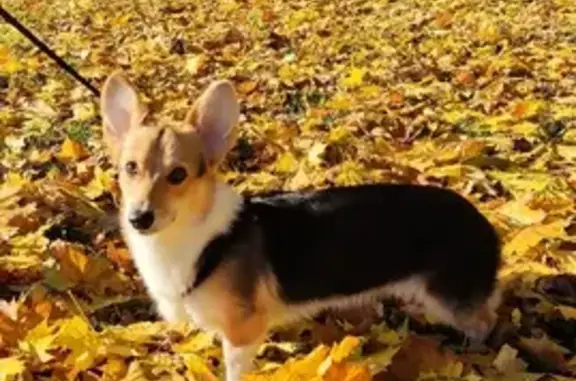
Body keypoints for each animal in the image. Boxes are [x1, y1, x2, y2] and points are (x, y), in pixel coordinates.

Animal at [101, 72, 502, 380]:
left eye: (178, 175)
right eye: (130, 168)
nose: (139, 218)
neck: (196, 237)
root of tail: (483, 221)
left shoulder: (242, 334)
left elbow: (234, 371)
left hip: (450, 299)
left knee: (485, 322)